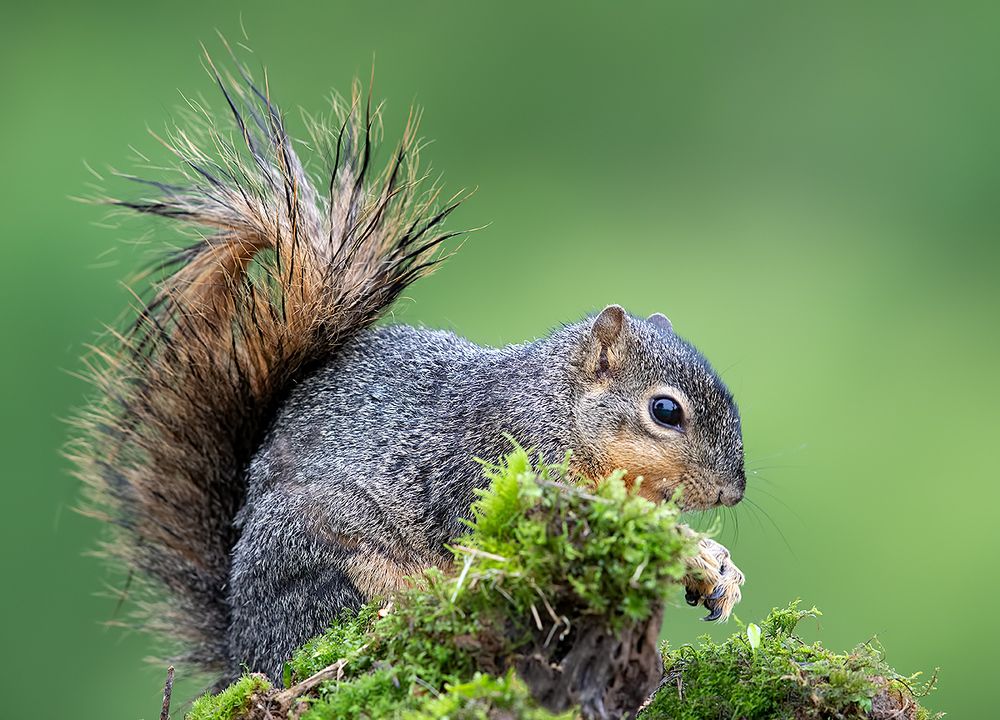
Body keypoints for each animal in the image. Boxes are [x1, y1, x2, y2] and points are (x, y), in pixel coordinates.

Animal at [71, 60, 747, 685]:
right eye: (666, 410)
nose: (732, 493)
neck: (555, 406)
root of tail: (242, 651)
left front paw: (717, 567)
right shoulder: (498, 467)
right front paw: (697, 552)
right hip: (327, 561)